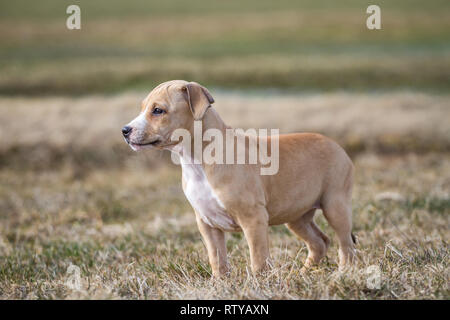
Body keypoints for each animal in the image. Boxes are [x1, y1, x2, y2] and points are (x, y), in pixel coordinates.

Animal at [123, 80, 356, 278]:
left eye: (158, 110)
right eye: (143, 107)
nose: (125, 130)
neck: (196, 161)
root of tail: (335, 145)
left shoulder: (253, 218)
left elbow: (258, 259)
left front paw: (261, 283)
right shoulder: (207, 223)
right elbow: (217, 259)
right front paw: (219, 284)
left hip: (335, 205)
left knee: (346, 243)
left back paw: (343, 273)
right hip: (297, 216)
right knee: (319, 242)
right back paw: (301, 273)